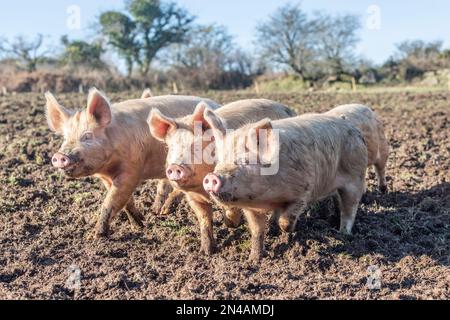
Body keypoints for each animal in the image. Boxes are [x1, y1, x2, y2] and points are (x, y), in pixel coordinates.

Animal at [45, 87, 220, 238]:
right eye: (65, 138)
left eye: (87, 136)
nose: (59, 156)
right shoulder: (106, 178)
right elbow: (125, 201)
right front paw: (140, 224)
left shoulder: (131, 169)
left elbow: (112, 200)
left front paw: (94, 237)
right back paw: (158, 211)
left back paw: (164, 211)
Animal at [147, 100, 296, 255]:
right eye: (170, 147)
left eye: (196, 146)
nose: (175, 167)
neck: (201, 190)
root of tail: (286, 108)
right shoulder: (193, 198)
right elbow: (204, 221)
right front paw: (206, 252)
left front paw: (232, 223)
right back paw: (163, 211)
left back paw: (273, 229)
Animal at [204, 114, 370, 262]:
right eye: (219, 162)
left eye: (244, 161)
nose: (212, 177)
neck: (266, 199)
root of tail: (351, 126)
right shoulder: (251, 209)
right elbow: (257, 231)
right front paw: (254, 259)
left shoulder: (303, 190)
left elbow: (286, 219)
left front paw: (288, 230)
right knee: (338, 199)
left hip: (356, 176)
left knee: (350, 209)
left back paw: (343, 234)